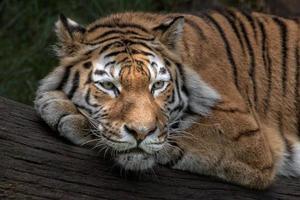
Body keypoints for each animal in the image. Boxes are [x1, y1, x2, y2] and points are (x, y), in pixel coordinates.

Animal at [34, 8, 300, 189]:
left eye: (158, 85)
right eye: (109, 86)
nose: (141, 133)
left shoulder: (246, 136)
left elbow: (181, 134)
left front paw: (61, 109)